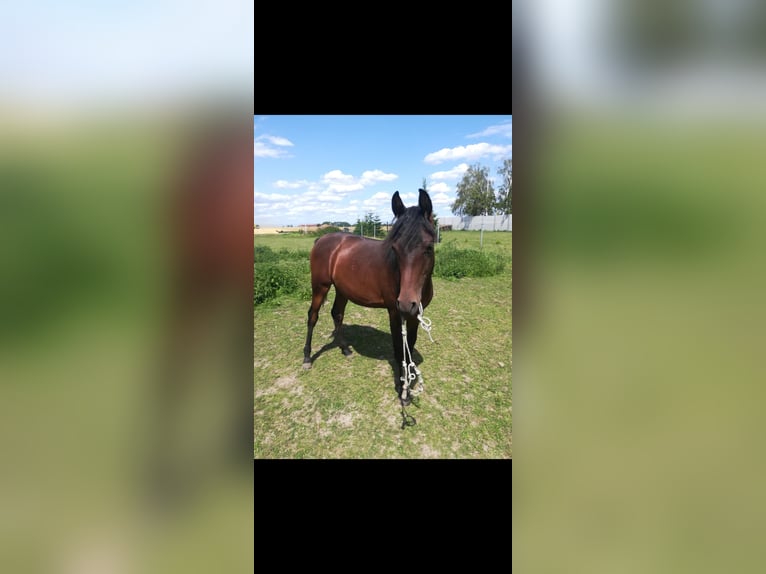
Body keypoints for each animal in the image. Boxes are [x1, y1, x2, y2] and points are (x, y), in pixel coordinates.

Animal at [302, 188, 436, 405]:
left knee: (337, 314)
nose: (406, 303)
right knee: (312, 316)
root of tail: (321, 239)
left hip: (342, 290)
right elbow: (399, 350)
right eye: (395, 248)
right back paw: (307, 358)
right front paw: (403, 390)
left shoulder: (415, 315)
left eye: (429, 247)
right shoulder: (394, 313)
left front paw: (407, 386)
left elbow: (409, 347)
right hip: (320, 286)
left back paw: (345, 349)